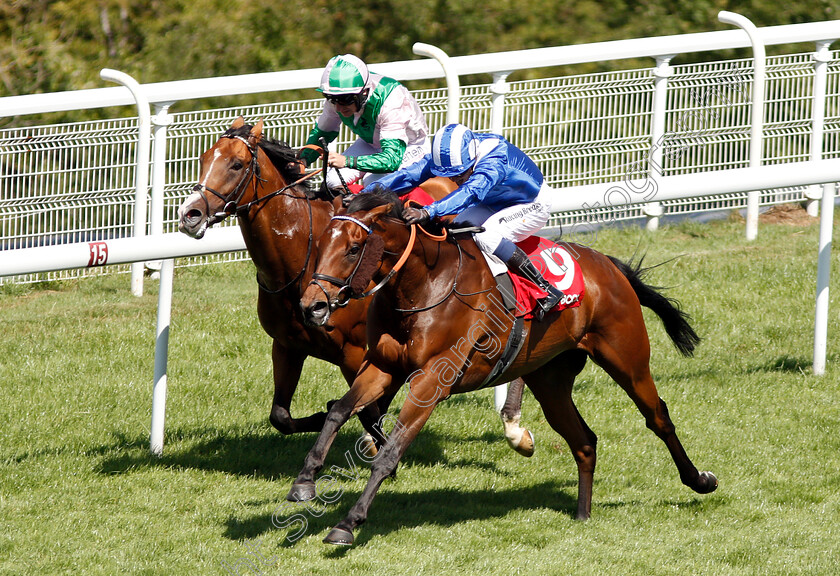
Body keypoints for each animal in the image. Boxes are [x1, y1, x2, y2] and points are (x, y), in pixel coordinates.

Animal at [176, 118, 536, 450]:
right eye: (203, 159)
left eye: (236, 164)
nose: (189, 214)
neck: (299, 261)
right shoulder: (288, 345)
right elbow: (281, 416)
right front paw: (328, 418)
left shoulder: (355, 351)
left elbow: (367, 411)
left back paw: (515, 429)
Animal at [294, 188, 716, 544]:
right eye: (321, 243)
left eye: (353, 248)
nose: (311, 307)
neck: (424, 285)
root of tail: (608, 265)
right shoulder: (382, 366)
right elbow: (339, 411)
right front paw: (305, 480)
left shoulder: (430, 381)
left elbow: (389, 452)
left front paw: (348, 523)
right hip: (550, 378)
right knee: (583, 440)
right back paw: (583, 514)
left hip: (628, 360)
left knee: (658, 417)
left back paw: (700, 480)